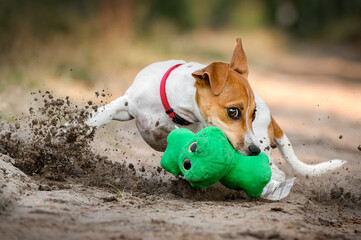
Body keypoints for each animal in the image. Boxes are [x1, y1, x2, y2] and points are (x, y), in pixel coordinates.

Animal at [86, 37, 344, 199]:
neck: (172, 106)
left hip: (264, 148)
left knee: (276, 174)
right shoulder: (126, 105)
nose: (253, 150)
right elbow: (97, 117)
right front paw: (76, 132)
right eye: (233, 112)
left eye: (252, 114)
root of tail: (272, 119)